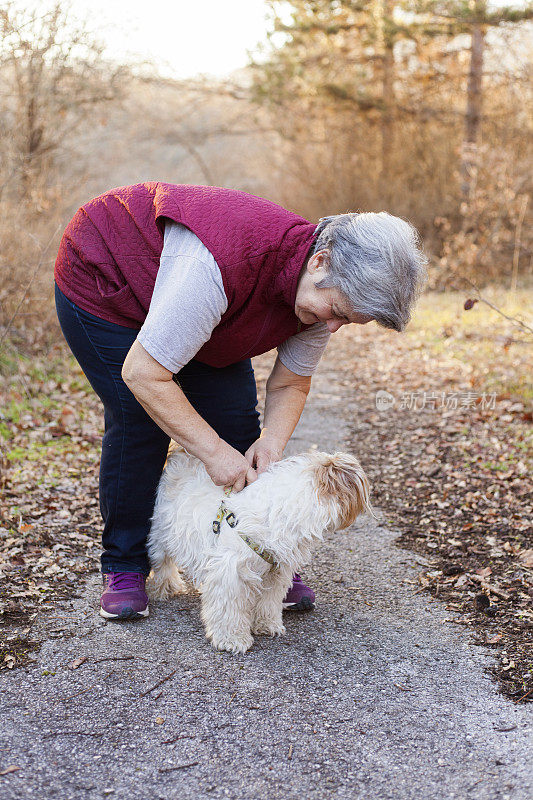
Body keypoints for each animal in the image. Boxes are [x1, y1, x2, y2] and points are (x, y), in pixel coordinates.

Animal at [145, 446, 370, 652]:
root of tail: (179, 455)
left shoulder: (275, 573)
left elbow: (268, 603)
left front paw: (266, 624)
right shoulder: (230, 574)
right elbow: (229, 611)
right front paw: (232, 639)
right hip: (161, 536)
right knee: (163, 564)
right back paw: (164, 587)